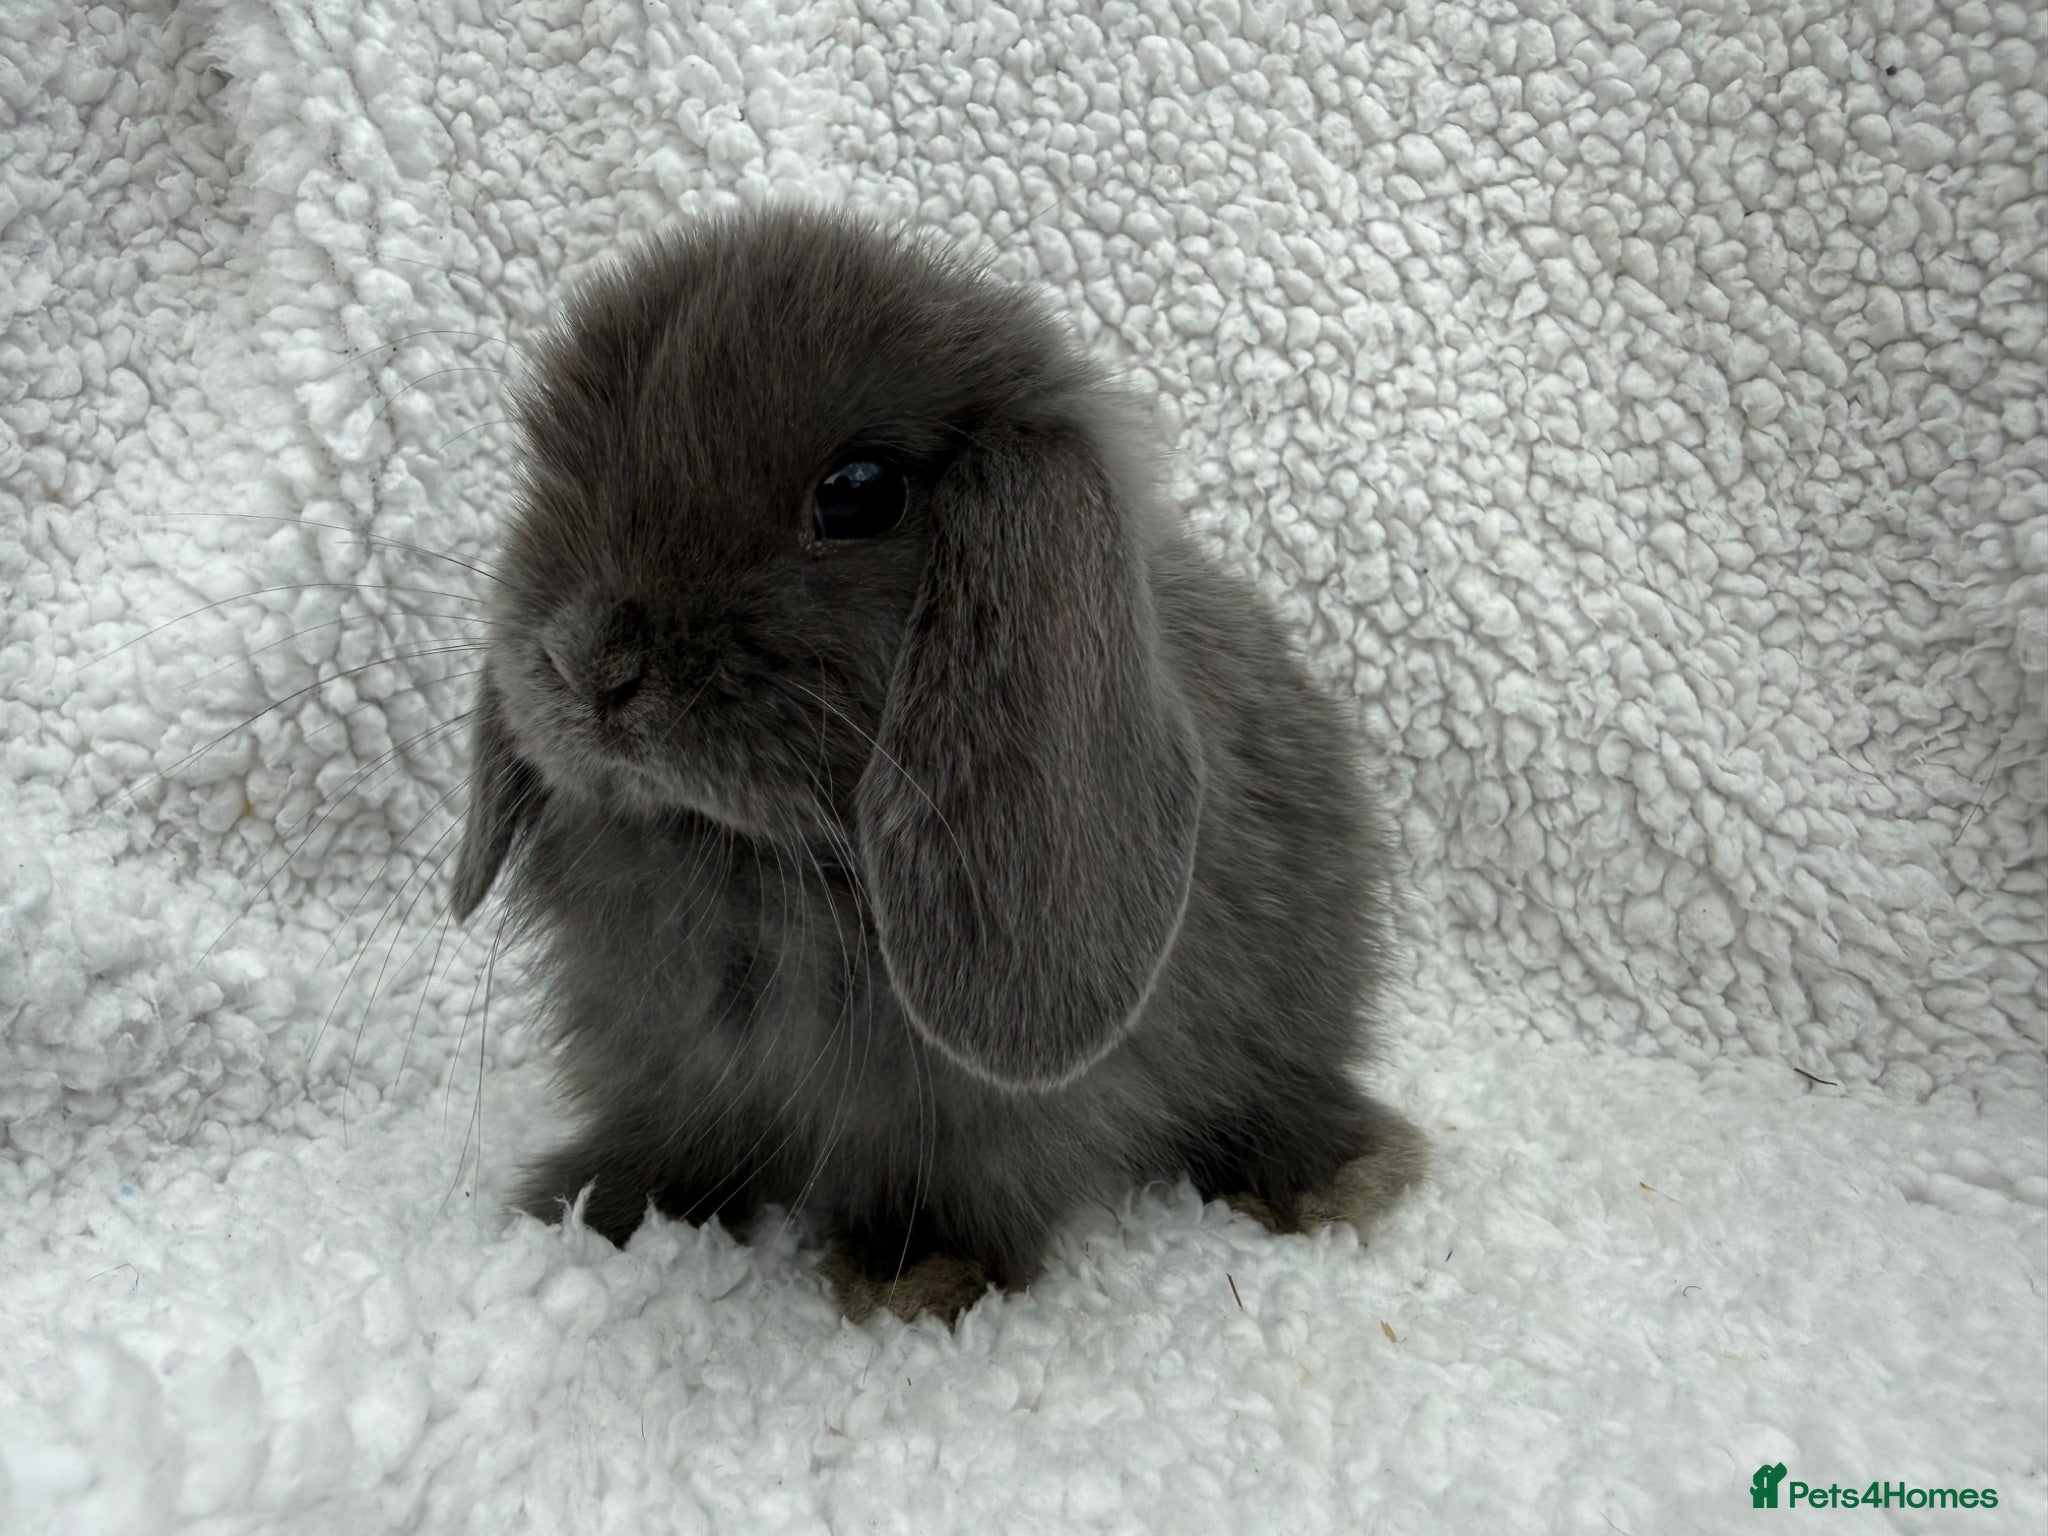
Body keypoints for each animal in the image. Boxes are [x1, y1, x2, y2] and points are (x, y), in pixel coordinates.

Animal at [451, 206, 1427, 1323]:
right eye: (552, 465)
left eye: (857, 495)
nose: (589, 662)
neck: (753, 856)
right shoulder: (672, 1064)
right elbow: (675, 1143)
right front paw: (591, 1209)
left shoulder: (976, 1119)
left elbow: (963, 1186)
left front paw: (908, 1276)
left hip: (1289, 1017)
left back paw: (1335, 1177)